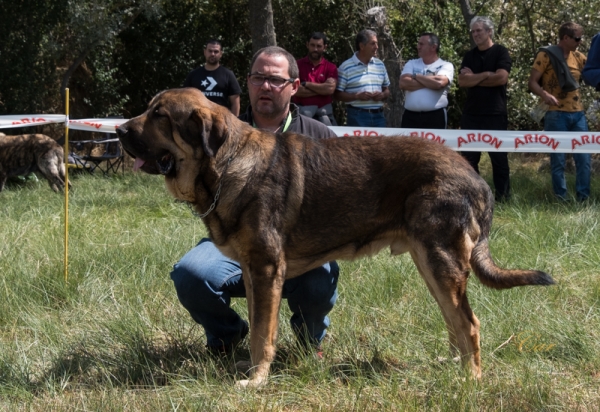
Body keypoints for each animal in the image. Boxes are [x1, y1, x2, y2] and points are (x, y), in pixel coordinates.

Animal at [115, 88, 556, 388]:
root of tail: (476, 180)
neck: (227, 165)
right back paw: (453, 366)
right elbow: (259, 325)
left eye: (159, 115)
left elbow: (262, 333)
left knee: (469, 323)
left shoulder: (266, 269)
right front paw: (252, 371)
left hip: (440, 262)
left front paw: (256, 381)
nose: (118, 130)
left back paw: (470, 380)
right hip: (430, 265)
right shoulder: (255, 274)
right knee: (455, 321)